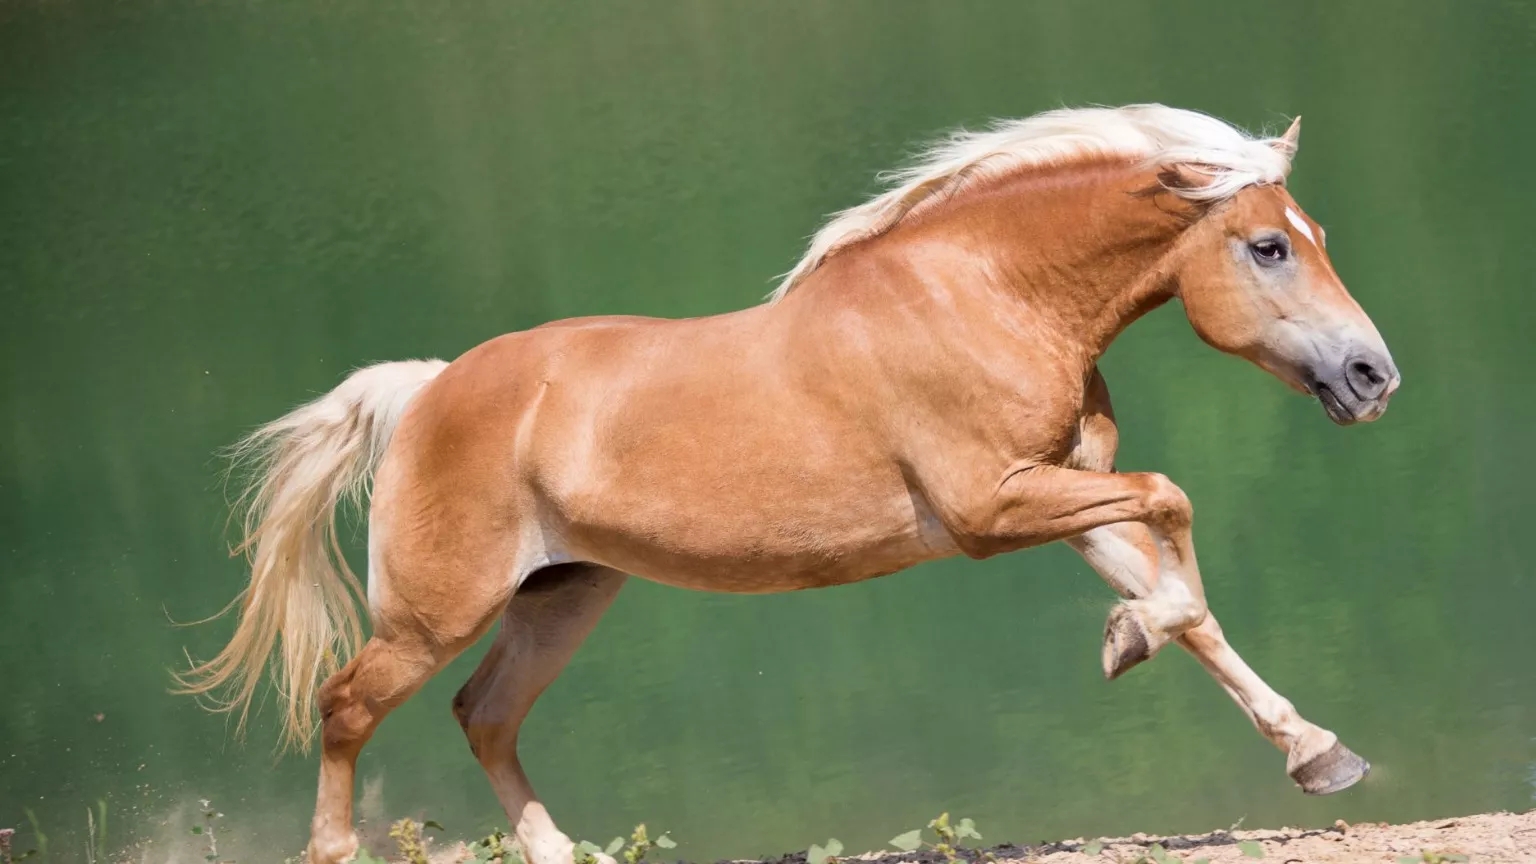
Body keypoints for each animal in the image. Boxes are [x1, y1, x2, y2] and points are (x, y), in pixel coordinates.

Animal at [179, 104, 1400, 864]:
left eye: (1312, 233)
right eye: (1267, 247)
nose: (1373, 376)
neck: (985, 293)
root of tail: (428, 389)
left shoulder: (1059, 493)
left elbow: (1187, 598)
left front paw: (1317, 753)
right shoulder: (991, 508)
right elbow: (1174, 507)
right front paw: (1126, 640)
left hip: (563, 593)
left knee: (484, 714)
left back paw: (560, 849)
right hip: (439, 609)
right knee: (346, 707)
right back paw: (335, 849)